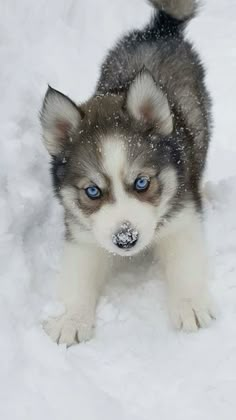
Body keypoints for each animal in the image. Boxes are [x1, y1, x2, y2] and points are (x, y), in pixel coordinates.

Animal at [41, 0, 216, 344]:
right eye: (92, 191)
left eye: (142, 182)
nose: (125, 239)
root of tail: (158, 30)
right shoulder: (82, 233)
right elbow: (78, 272)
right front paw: (71, 317)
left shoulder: (183, 215)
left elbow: (185, 259)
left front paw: (189, 304)